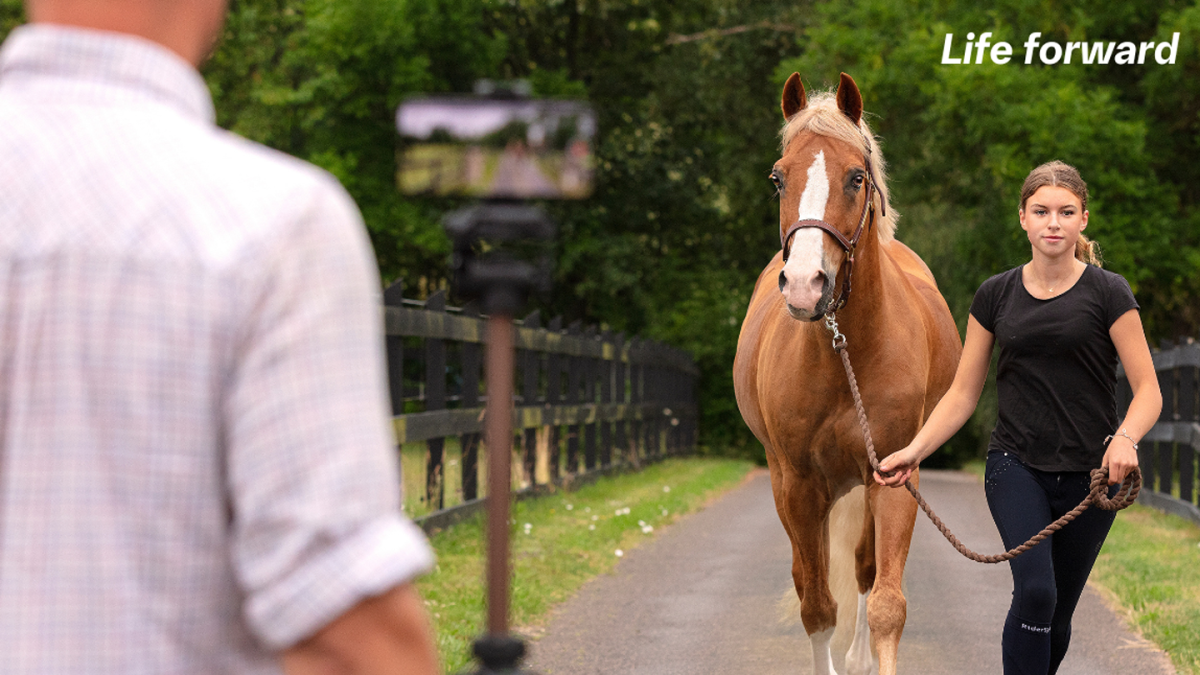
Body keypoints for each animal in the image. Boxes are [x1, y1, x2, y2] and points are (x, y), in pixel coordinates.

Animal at [733, 72, 962, 675]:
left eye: (856, 177)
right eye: (777, 179)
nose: (804, 284)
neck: (844, 354)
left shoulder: (895, 478)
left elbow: (885, 603)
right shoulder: (798, 487)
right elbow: (816, 606)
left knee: (862, 567)